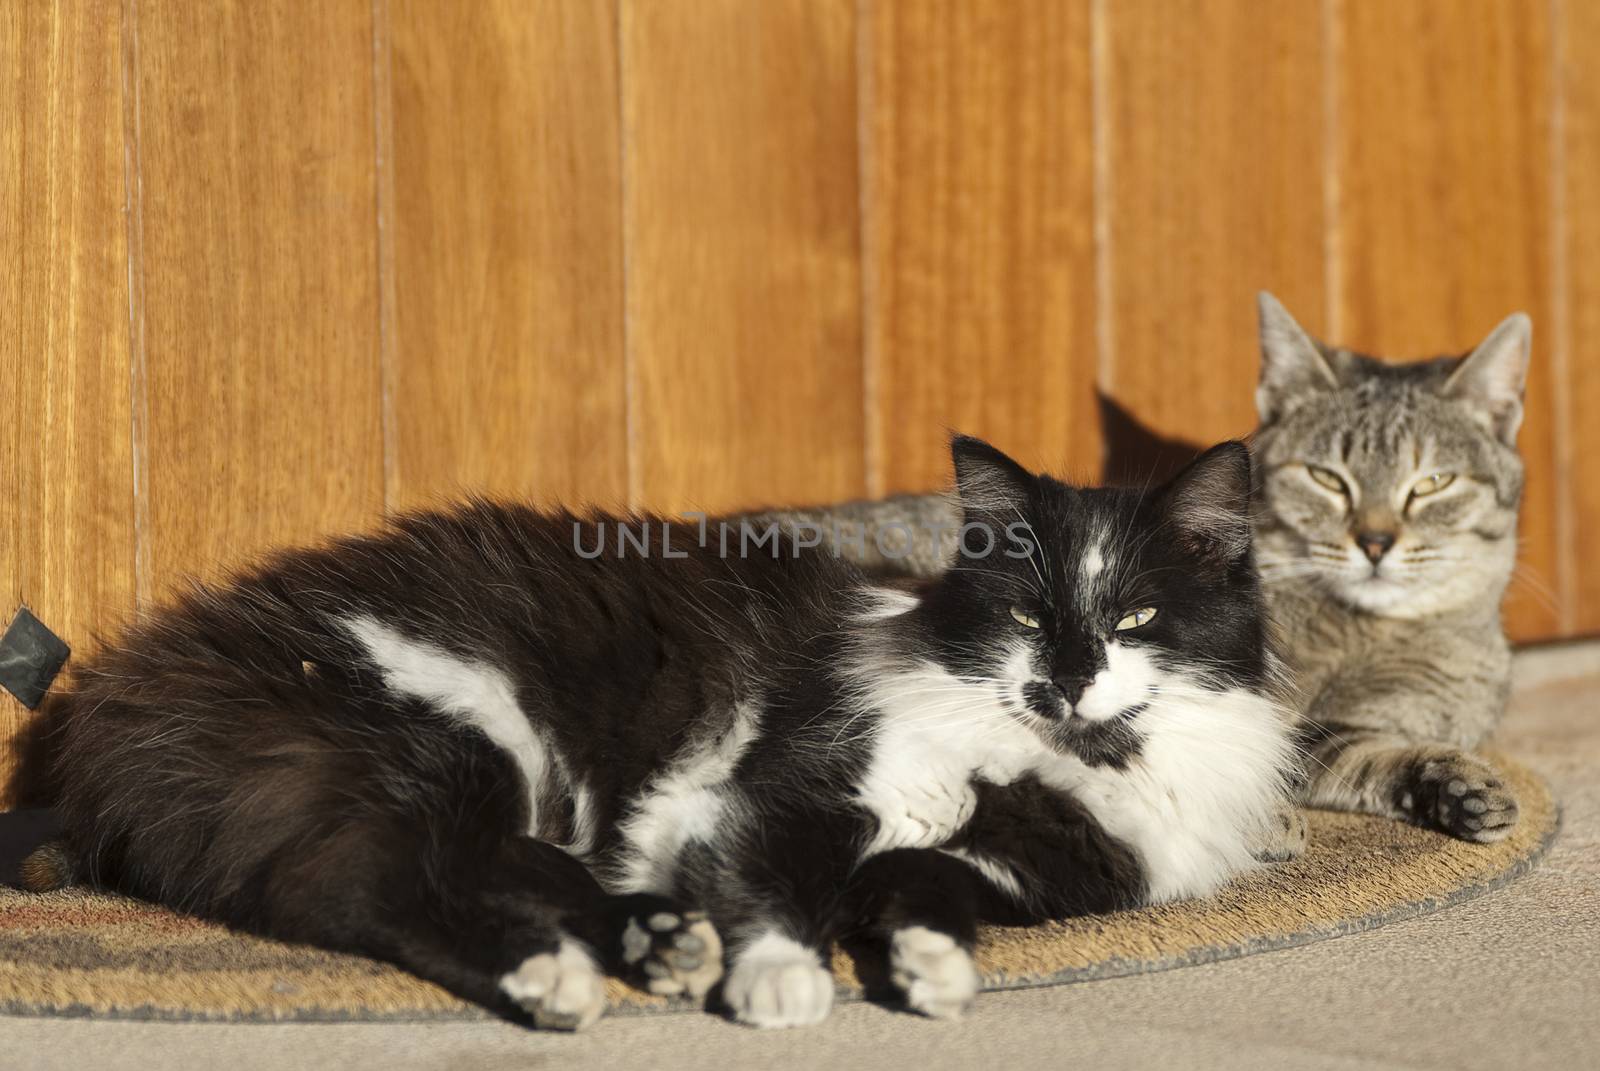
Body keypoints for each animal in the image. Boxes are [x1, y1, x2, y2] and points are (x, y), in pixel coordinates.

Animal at [18, 432, 1292, 1024]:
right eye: (1028, 613)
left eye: (1135, 618)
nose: (1067, 679)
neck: (1053, 757)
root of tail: (123, 699)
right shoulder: (785, 791)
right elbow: (777, 890)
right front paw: (783, 985)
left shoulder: (1032, 864)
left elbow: (921, 880)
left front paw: (927, 968)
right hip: (448, 734)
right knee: (364, 889)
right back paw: (554, 980)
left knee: (501, 869)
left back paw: (658, 946)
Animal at [780, 292, 1529, 845]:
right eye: (1326, 478)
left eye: (1431, 484)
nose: (1375, 541)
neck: (1358, 634)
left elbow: (1368, 746)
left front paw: (1462, 789)